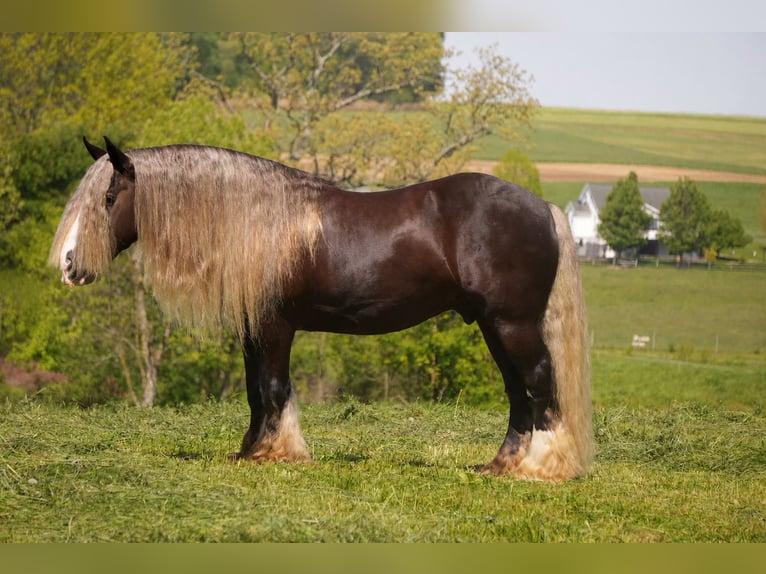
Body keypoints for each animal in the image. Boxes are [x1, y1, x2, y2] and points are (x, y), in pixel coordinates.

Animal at [50, 137, 593, 481]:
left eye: (109, 196)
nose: (70, 265)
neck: (255, 222)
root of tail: (545, 208)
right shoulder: (254, 330)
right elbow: (256, 391)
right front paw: (252, 451)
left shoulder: (275, 326)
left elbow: (273, 388)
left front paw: (279, 453)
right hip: (494, 326)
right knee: (519, 393)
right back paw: (502, 466)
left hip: (511, 324)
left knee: (539, 384)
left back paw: (542, 468)